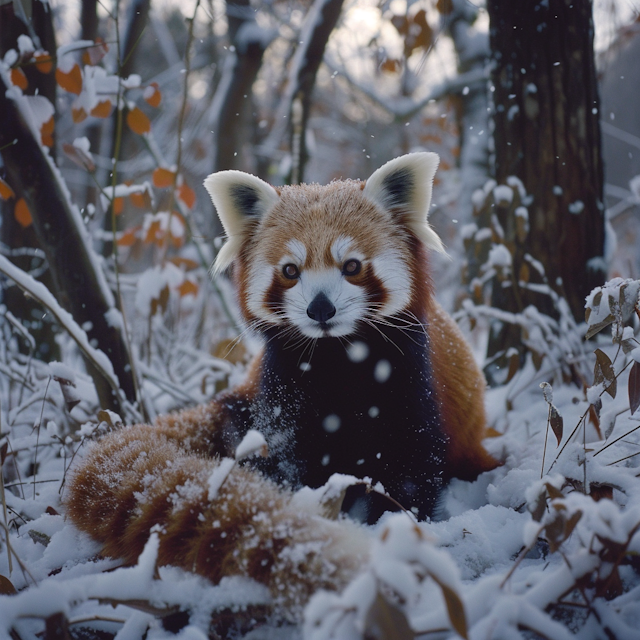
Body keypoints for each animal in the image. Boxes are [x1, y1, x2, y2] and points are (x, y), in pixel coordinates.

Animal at [65, 152, 498, 612]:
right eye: (291, 270)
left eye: (351, 266)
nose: (320, 308)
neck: (338, 358)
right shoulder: (287, 384)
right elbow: (297, 455)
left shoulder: (410, 376)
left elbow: (412, 457)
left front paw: (396, 519)